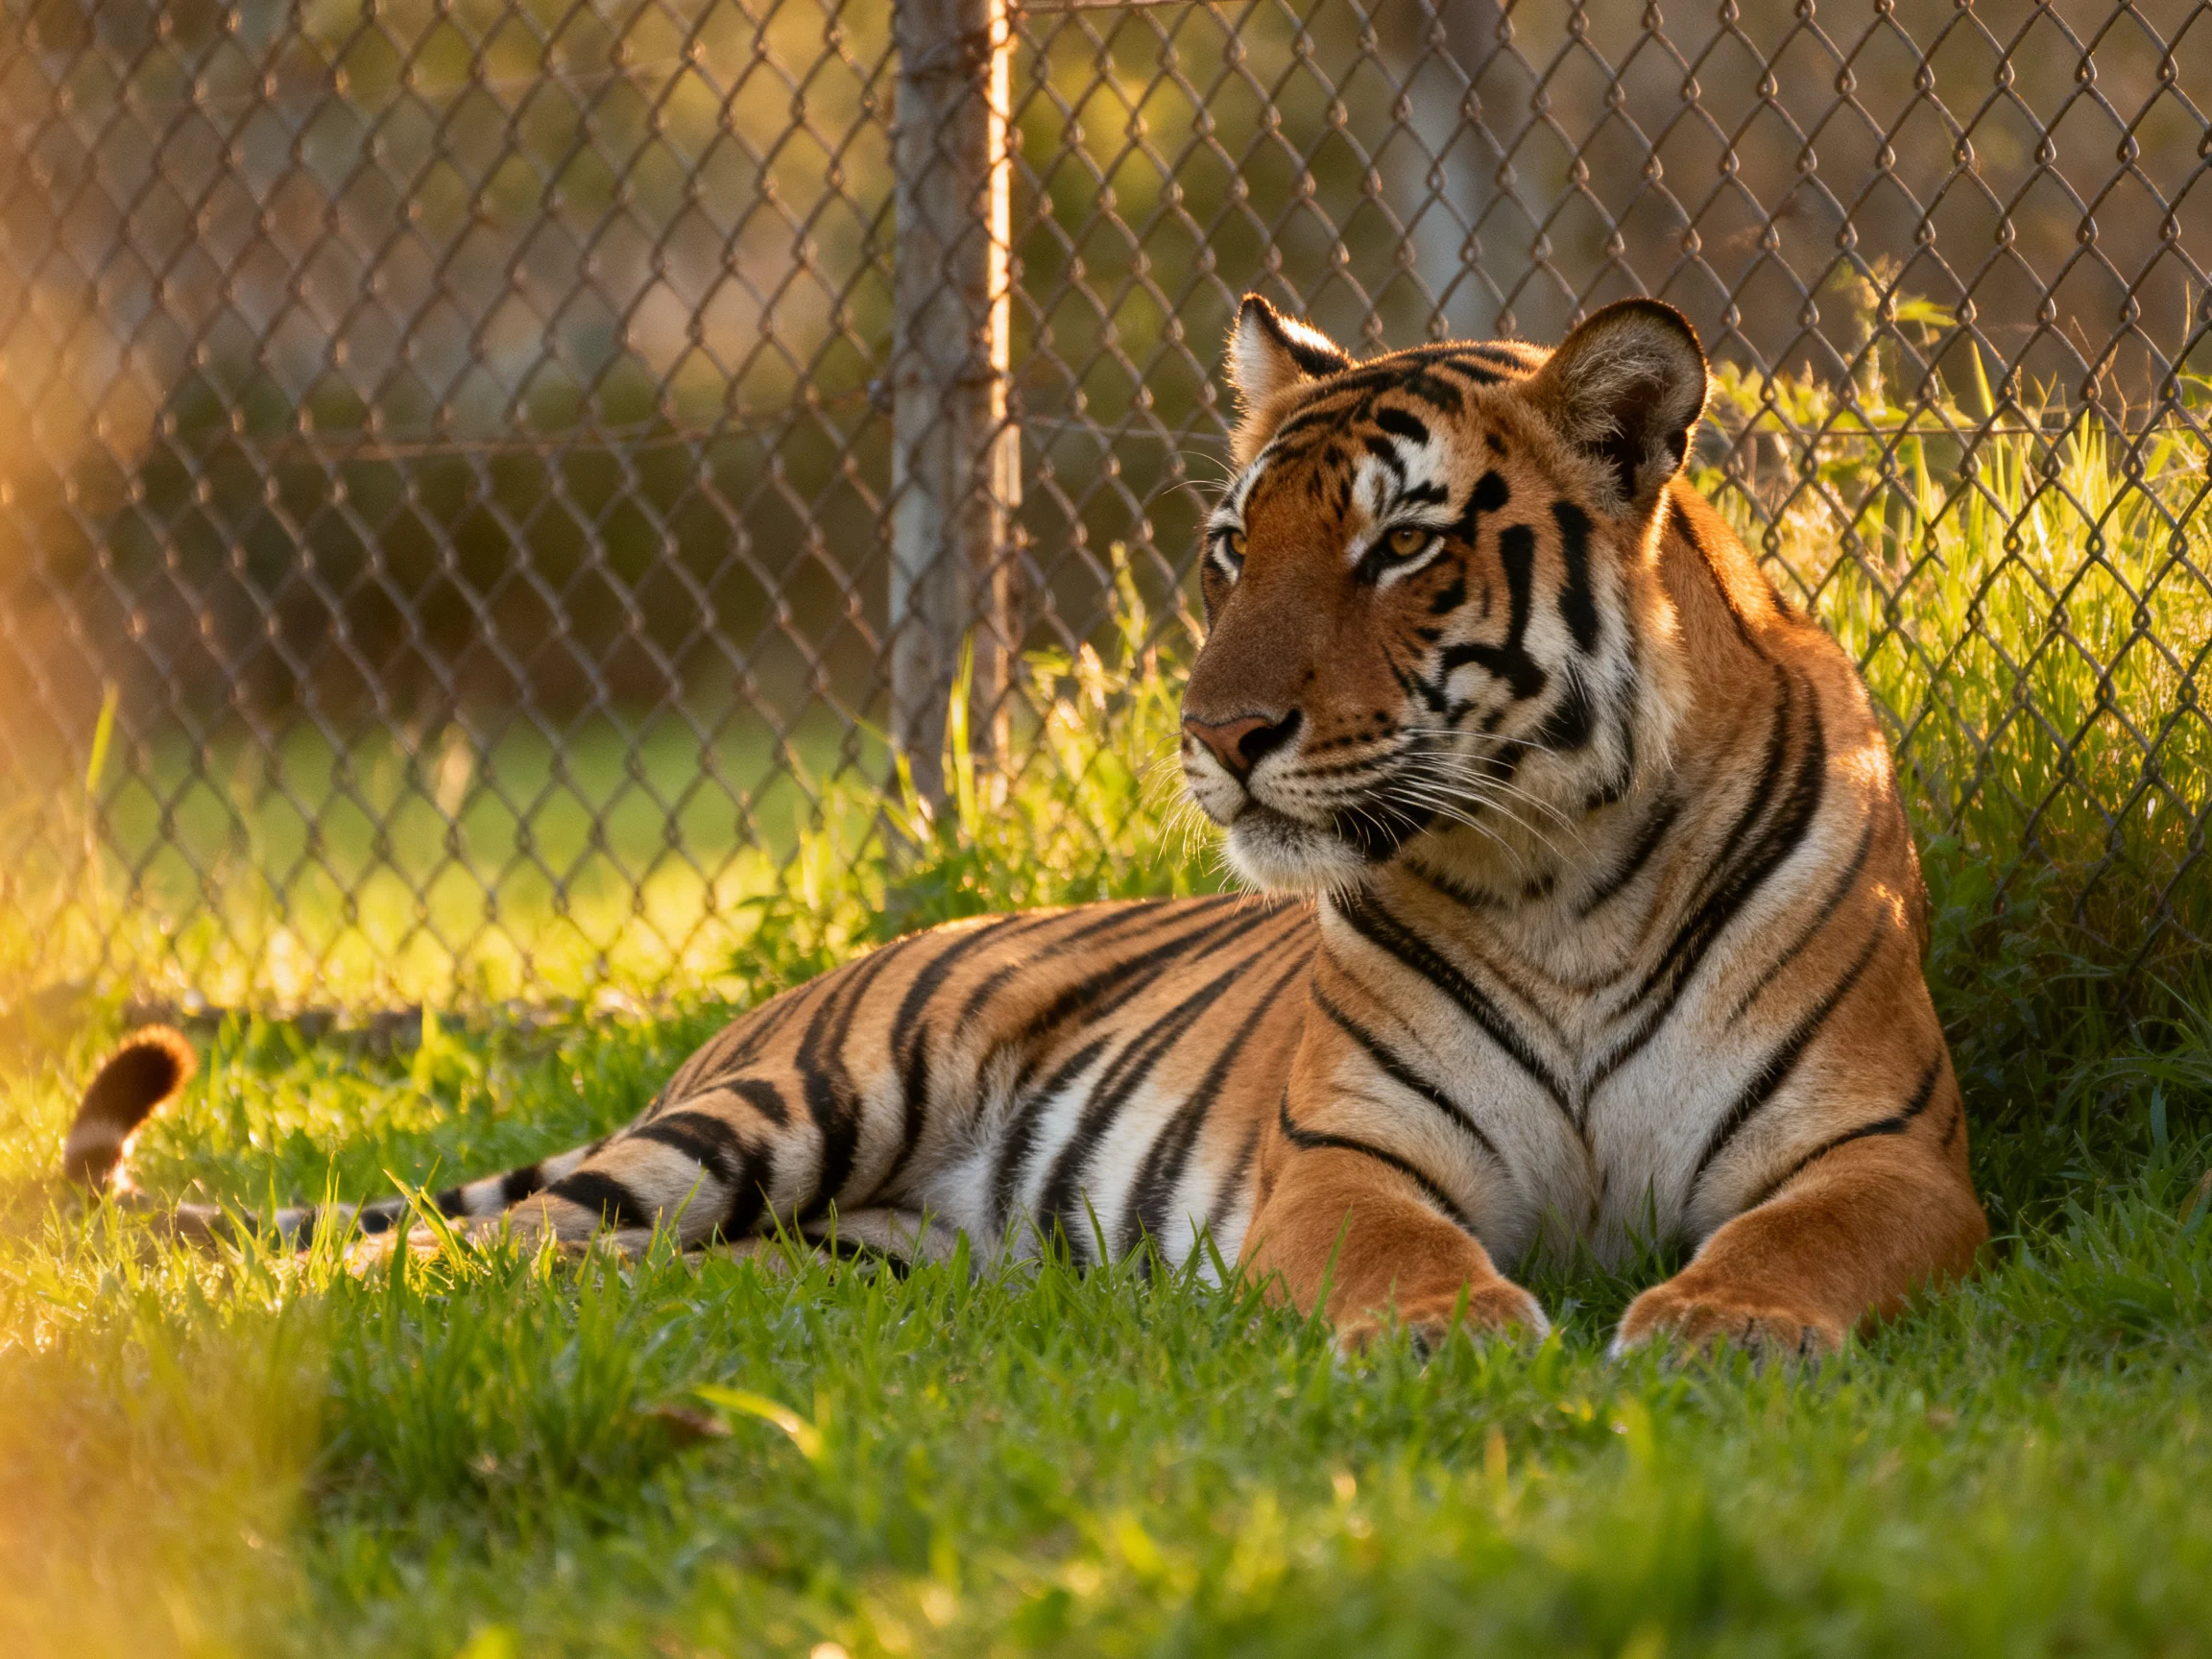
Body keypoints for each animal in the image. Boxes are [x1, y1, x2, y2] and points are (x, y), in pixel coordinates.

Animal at [62, 294, 1989, 1358]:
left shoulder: (1884, 1150)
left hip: (841, 1247)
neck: (1559, 870)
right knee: (468, 1240)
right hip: (794, 1104)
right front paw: (1454, 1333)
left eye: (1399, 545)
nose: (1217, 737)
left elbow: (1798, 1235)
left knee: (642, 1267)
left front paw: (1723, 1324)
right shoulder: (1349, 1155)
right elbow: (1398, 1247)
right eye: (1233, 546)